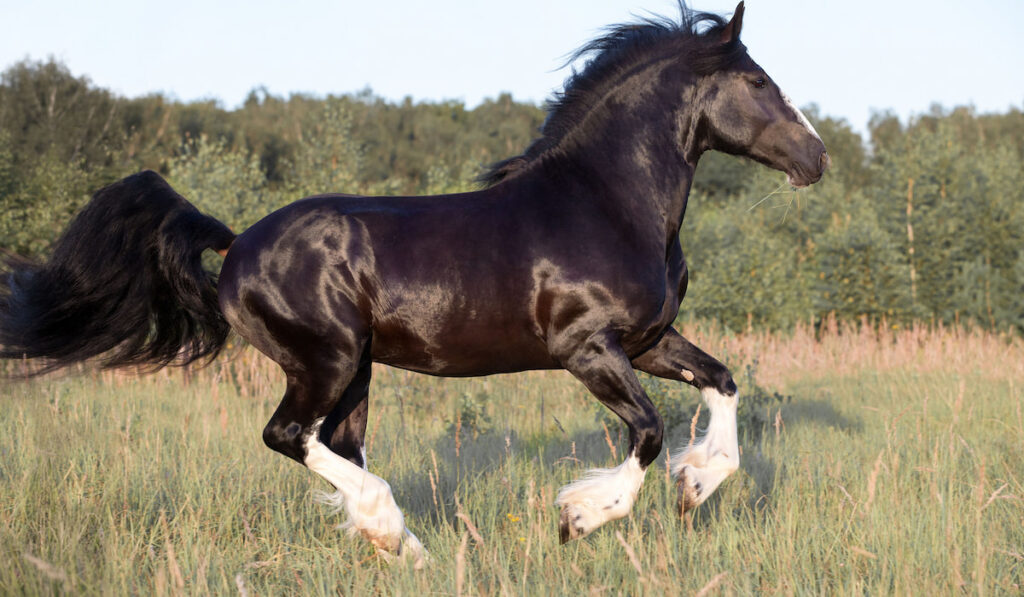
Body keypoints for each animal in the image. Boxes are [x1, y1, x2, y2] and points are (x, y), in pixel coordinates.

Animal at [2, 2, 823, 569]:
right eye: (757, 80)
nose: (816, 158)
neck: (606, 200)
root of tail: (236, 244)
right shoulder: (586, 348)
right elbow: (648, 430)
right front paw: (579, 517)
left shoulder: (649, 340)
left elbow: (722, 381)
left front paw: (697, 485)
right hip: (326, 359)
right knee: (289, 436)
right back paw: (396, 531)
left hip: (356, 367)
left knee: (334, 443)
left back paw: (398, 543)